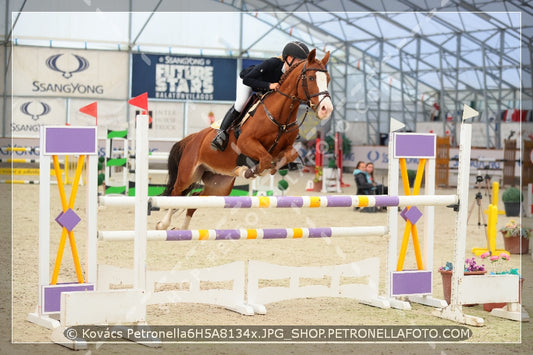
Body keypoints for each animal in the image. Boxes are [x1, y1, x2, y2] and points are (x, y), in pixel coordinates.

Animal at [156, 48, 334, 231]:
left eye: (328, 79)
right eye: (311, 78)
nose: (326, 109)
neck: (280, 116)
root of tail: (192, 138)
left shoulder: (286, 147)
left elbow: (285, 156)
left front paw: (258, 169)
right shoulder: (246, 143)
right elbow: (265, 159)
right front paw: (247, 170)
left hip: (219, 185)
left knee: (194, 197)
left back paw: (183, 229)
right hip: (188, 174)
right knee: (176, 193)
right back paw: (163, 224)